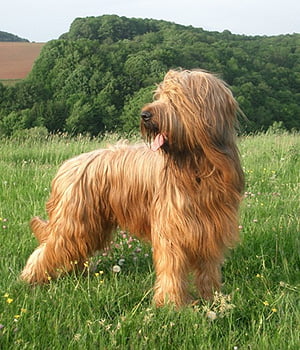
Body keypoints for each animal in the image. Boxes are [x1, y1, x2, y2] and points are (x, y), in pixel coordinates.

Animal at [21, 68, 246, 306]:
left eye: (174, 97)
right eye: (159, 95)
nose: (145, 115)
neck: (196, 168)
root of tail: (66, 167)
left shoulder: (211, 226)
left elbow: (208, 267)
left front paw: (212, 297)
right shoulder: (172, 228)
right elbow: (172, 266)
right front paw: (173, 303)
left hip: (92, 224)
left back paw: (79, 274)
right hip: (74, 221)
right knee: (49, 247)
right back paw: (30, 278)